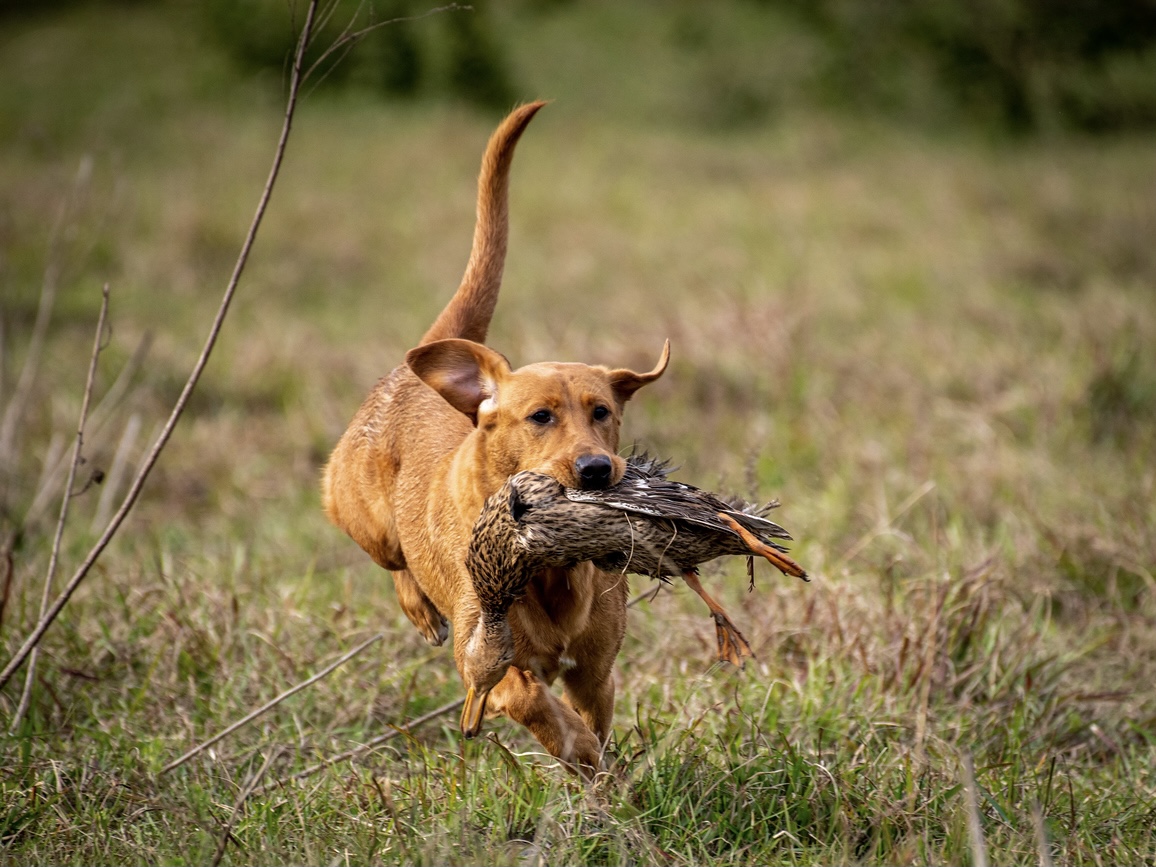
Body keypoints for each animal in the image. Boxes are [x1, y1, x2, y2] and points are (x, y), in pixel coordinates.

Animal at [323, 103, 670, 781]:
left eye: (602, 412)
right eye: (540, 417)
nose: (597, 470)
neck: (552, 573)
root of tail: (422, 361)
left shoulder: (596, 675)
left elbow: (589, 719)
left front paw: (599, 775)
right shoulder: (492, 660)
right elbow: (537, 707)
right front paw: (578, 752)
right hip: (360, 513)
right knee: (394, 560)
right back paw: (420, 610)